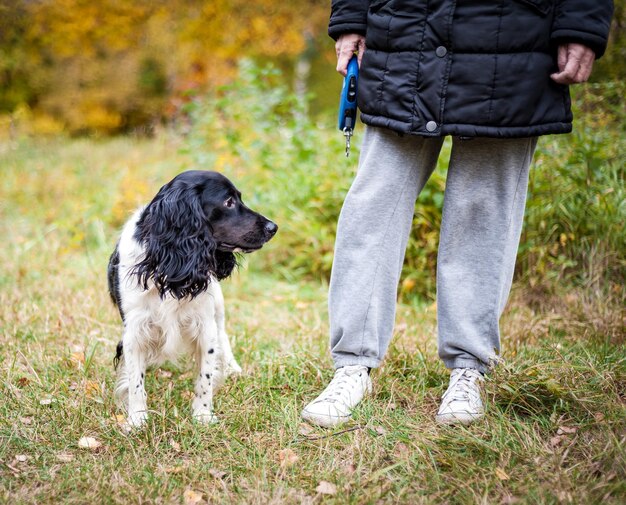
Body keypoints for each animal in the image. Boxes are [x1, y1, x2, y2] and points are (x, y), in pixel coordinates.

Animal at [106, 171, 276, 428]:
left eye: (239, 198)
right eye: (228, 202)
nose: (273, 227)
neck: (168, 262)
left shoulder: (204, 324)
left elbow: (205, 375)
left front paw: (203, 415)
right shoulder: (135, 329)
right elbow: (135, 380)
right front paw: (137, 419)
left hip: (218, 306)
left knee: (223, 334)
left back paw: (232, 368)